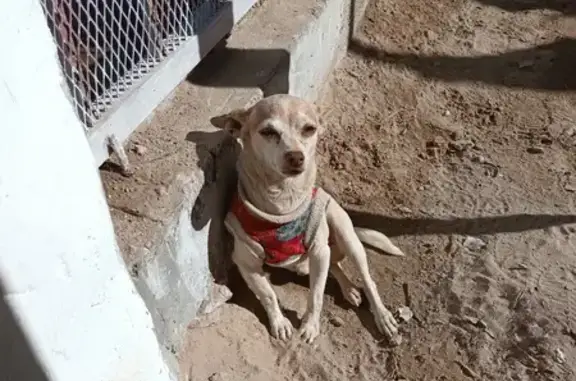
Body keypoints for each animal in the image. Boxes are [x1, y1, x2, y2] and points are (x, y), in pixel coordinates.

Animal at [209, 93, 402, 342]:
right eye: (268, 132)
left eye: (309, 129)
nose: (296, 156)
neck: (282, 206)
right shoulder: (247, 264)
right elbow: (268, 295)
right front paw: (279, 323)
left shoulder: (318, 251)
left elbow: (316, 294)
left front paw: (310, 326)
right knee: (334, 265)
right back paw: (349, 289)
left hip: (347, 237)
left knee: (367, 280)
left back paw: (382, 316)